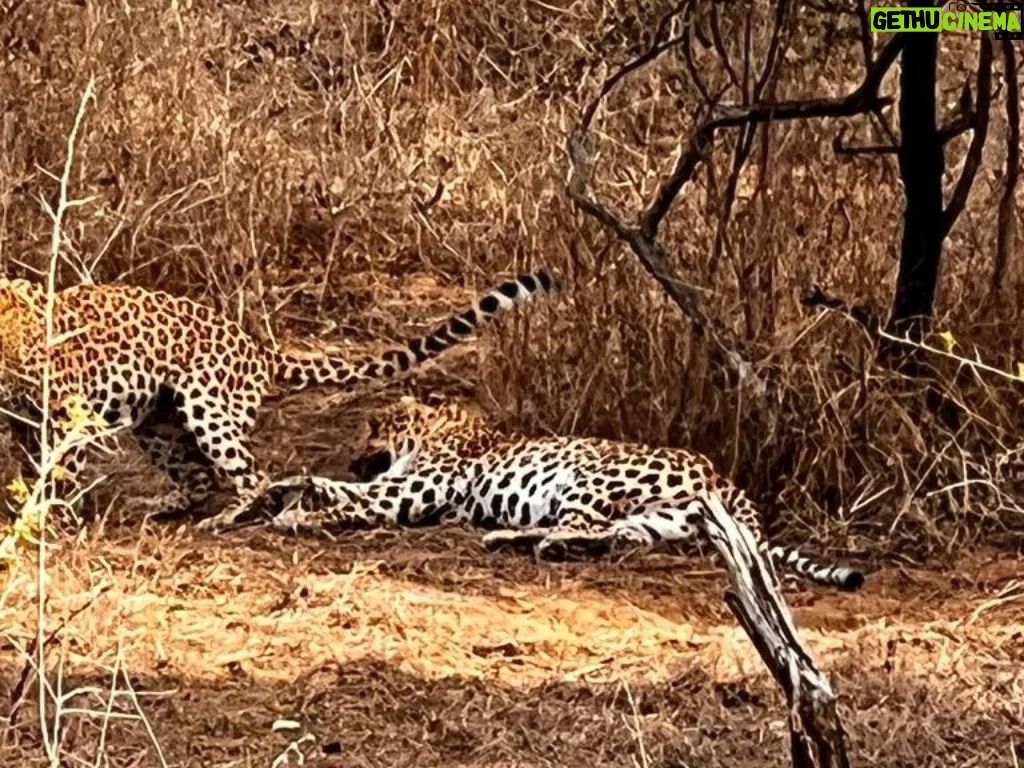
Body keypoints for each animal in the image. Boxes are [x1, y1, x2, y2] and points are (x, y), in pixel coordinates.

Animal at [0, 271, 557, 525]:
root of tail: (258, 348)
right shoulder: (23, 421)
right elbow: (27, 466)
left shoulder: (66, 413)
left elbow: (55, 469)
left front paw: (41, 516)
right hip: (159, 422)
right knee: (199, 478)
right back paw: (163, 505)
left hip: (206, 407)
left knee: (253, 475)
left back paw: (228, 517)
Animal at [252, 396, 865, 591]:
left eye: (374, 426)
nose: (355, 448)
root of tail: (722, 478)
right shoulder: (392, 482)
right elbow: (335, 486)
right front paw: (283, 490)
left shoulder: (405, 491)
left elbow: (354, 498)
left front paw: (298, 518)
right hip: (658, 519)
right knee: (614, 537)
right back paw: (532, 542)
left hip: (591, 476)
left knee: (581, 524)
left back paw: (512, 538)